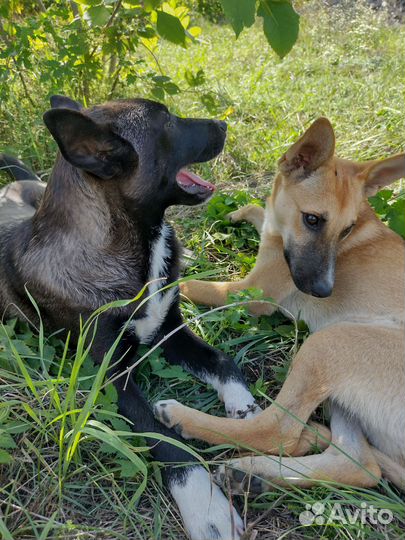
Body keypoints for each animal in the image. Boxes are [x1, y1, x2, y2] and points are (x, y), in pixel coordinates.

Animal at [0, 97, 258, 540]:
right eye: (167, 123)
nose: (224, 124)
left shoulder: (170, 330)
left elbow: (222, 360)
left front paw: (244, 408)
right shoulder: (111, 377)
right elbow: (161, 433)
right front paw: (205, 504)